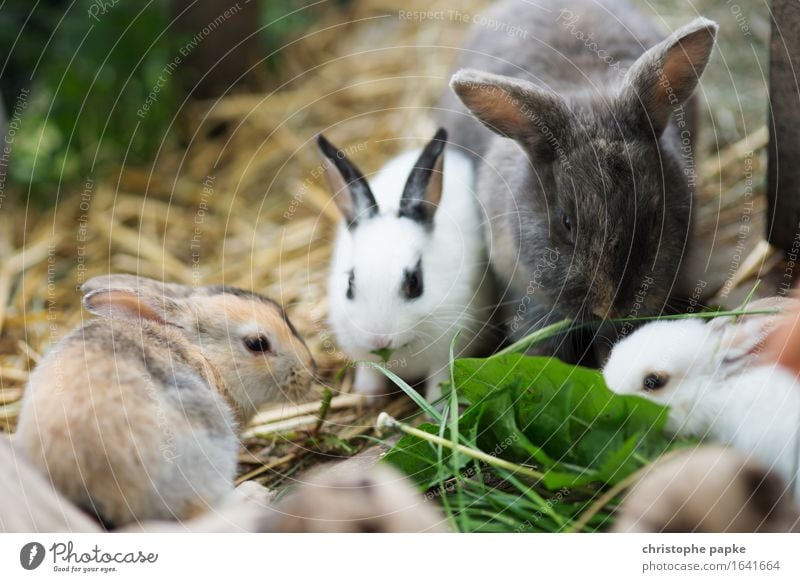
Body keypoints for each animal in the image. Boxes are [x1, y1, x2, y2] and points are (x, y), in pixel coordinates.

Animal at [318, 128, 494, 404]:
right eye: (350, 285)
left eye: (414, 283)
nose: (379, 339)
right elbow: (370, 372)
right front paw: (369, 397)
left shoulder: (446, 352)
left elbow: (440, 381)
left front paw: (436, 405)